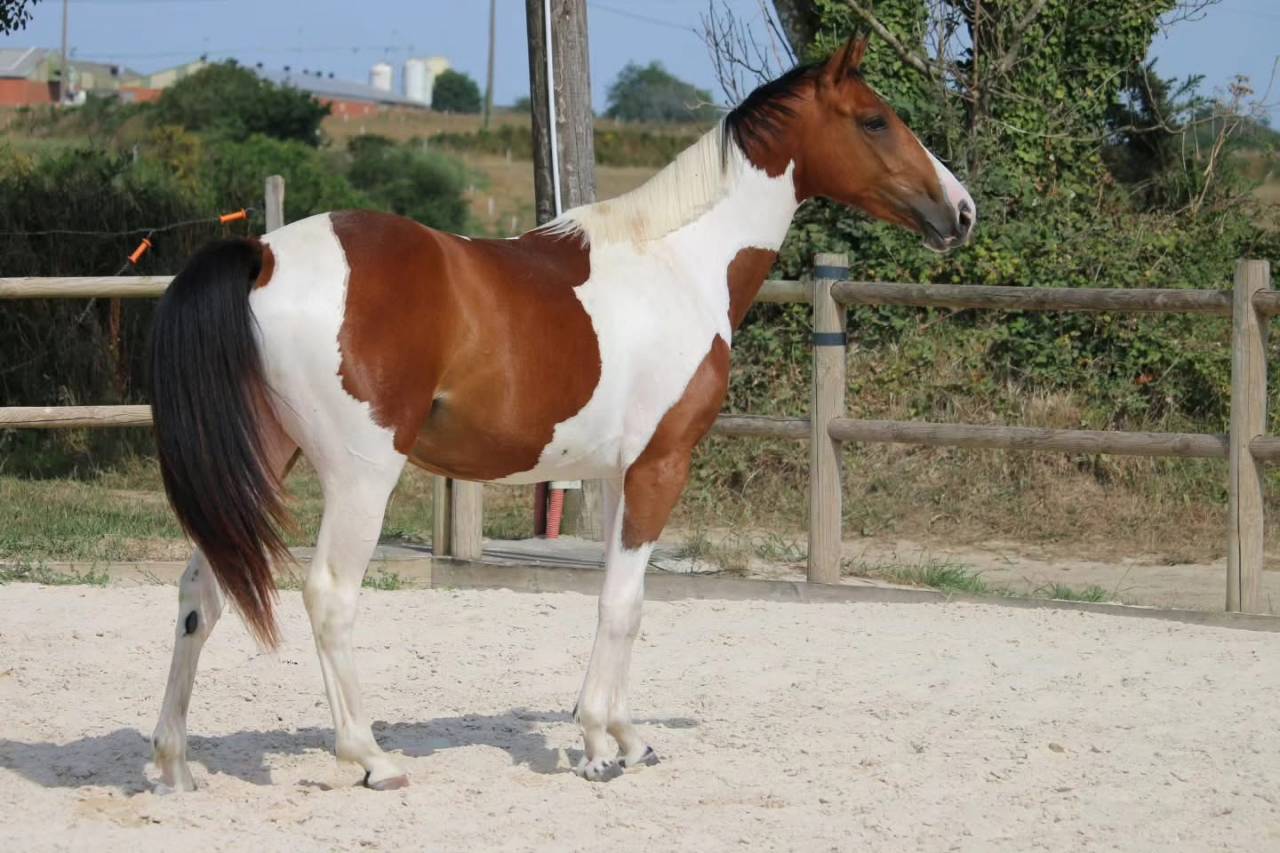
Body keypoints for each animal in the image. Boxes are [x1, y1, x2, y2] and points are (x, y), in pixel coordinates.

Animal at [147, 36, 974, 792]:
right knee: (328, 593)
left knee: (200, 591)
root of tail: (263, 255)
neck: (680, 263)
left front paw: (622, 735)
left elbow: (620, 598)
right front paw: (600, 746)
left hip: (262, 460)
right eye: (874, 120)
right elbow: (622, 601)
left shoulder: (614, 476)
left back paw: (173, 764)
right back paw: (372, 757)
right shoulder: (661, 467)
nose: (961, 211)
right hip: (361, 476)